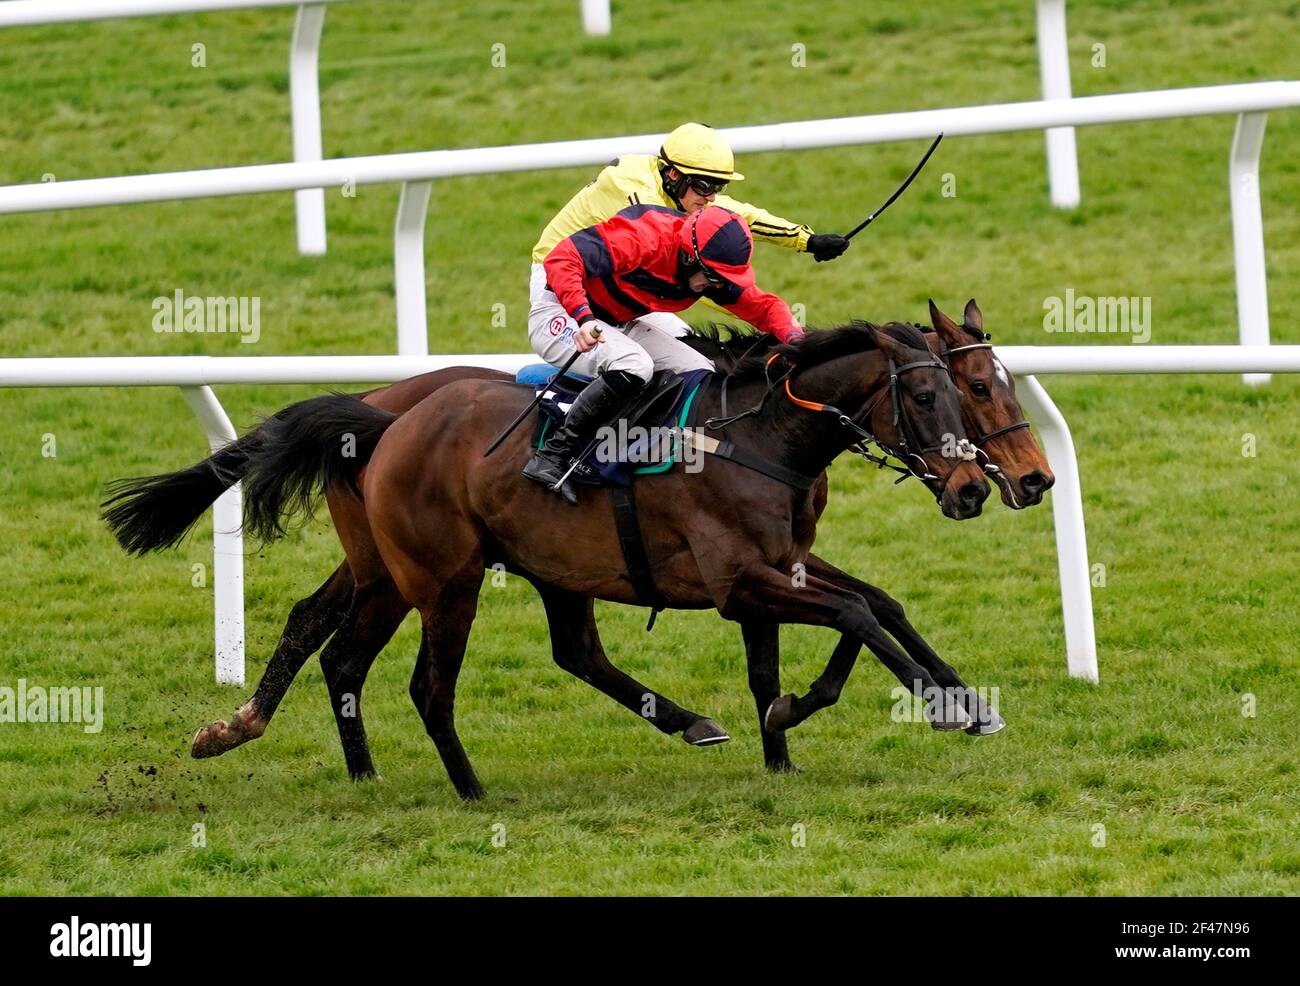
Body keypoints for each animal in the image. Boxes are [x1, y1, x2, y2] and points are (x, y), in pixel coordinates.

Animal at [106, 305, 1050, 790]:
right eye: (943, 392)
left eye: (980, 385)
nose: (990, 486)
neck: (762, 432)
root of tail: (382, 417)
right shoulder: (740, 581)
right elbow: (853, 613)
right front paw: (936, 704)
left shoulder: (776, 562)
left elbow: (866, 610)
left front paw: (799, 730)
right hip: (439, 578)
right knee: (417, 681)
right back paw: (465, 787)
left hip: (461, 568)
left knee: (353, 641)